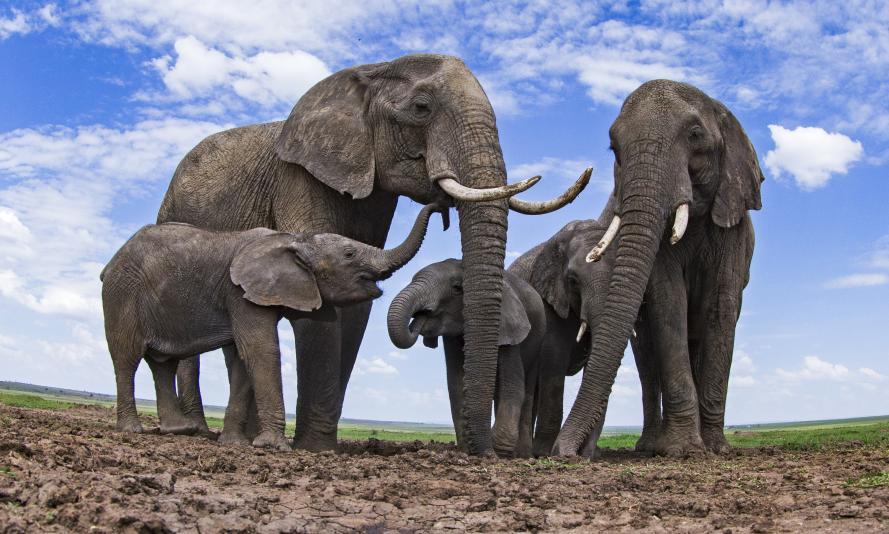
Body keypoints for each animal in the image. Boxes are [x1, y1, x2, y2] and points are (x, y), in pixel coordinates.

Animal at [101, 204, 444, 452]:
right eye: (349, 254)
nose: (439, 209)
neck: (296, 240)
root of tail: (111, 263)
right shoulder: (239, 292)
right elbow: (261, 350)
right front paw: (274, 447)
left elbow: (242, 359)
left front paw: (236, 444)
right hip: (121, 294)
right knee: (126, 358)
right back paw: (132, 429)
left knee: (163, 363)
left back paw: (178, 430)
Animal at [386, 260, 544, 460]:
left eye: (456, 288)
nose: (420, 318)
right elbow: (456, 382)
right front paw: (467, 449)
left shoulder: (508, 326)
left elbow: (513, 386)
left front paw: (497, 449)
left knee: (527, 388)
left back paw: (522, 455)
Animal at [552, 80, 760, 460]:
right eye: (614, 148)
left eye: (695, 134)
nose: (564, 453)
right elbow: (669, 303)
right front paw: (683, 451)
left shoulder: (734, 224)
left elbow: (720, 308)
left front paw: (717, 449)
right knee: (648, 360)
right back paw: (650, 446)